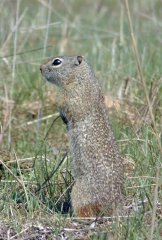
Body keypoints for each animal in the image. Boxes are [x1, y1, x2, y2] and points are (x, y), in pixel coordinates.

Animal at [39, 55, 123, 217]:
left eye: (57, 61)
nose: (40, 68)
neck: (80, 78)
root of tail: (112, 206)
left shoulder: (73, 96)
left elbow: (66, 107)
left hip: (79, 191)